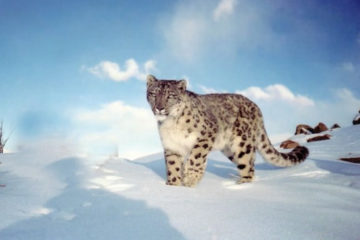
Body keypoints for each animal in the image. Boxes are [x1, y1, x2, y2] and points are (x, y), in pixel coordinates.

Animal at [145, 75, 308, 188]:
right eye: (153, 93)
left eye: (170, 95)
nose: (159, 107)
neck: (170, 124)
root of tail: (256, 107)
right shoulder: (171, 146)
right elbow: (173, 166)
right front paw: (173, 186)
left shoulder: (206, 135)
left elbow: (195, 158)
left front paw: (190, 179)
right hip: (230, 150)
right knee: (250, 164)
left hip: (242, 144)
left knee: (248, 165)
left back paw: (242, 185)